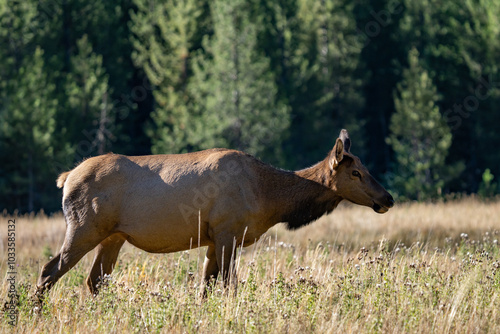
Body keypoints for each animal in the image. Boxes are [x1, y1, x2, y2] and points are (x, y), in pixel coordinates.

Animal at [35, 130, 394, 298]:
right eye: (356, 173)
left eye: (366, 168)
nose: (387, 197)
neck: (269, 199)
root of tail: (66, 178)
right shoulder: (227, 232)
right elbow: (228, 285)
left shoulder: (211, 239)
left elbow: (205, 289)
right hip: (85, 227)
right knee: (49, 271)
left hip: (113, 236)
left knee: (95, 280)